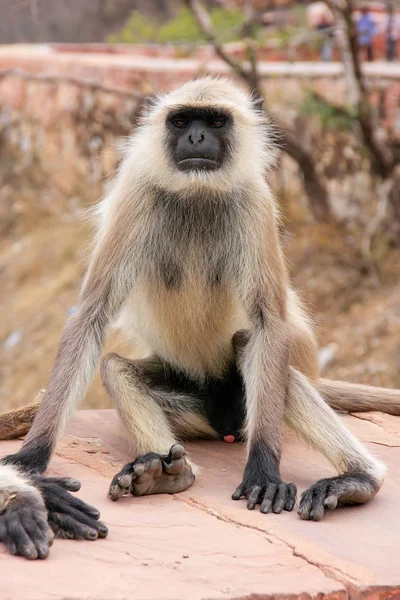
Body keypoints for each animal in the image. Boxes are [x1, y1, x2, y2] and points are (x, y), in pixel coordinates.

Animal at [0, 76, 396, 564]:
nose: (195, 138)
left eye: (215, 120)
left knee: (254, 346)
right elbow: (92, 314)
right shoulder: (135, 194)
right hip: (193, 405)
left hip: (255, 397)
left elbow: (268, 322)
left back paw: (359, 479)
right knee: (115, 367)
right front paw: (30, 462)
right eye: (182, 120)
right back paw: (164, 473)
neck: (197, 192)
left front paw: (263, 469)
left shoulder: (256, 201)